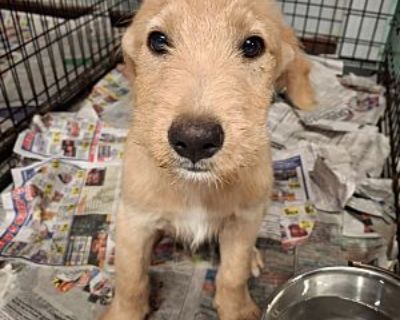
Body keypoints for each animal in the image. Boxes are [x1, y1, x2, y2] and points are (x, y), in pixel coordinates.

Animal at [101, 0, 314, 320]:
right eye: (158, 41)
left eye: (252, 45)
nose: (195, 141)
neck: (196, 186)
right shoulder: (134, 220)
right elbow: (130, 278)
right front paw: (124, 312)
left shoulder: (244, 219)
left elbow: (233, 273)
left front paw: (237, 309)